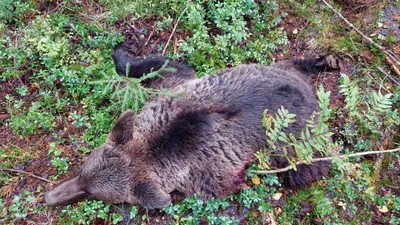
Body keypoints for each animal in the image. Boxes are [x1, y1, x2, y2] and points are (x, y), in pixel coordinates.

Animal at [44, 49, 338, 209]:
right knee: (292, 62)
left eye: (91, 193)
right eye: (81, 171)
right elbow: (158, 65)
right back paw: (321, 62)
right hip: (275, 68)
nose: (48, 197)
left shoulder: (207, 173)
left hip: (297, 142)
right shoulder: (169, 94)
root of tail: (308, 93)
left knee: (307, 168)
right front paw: (122, 51)